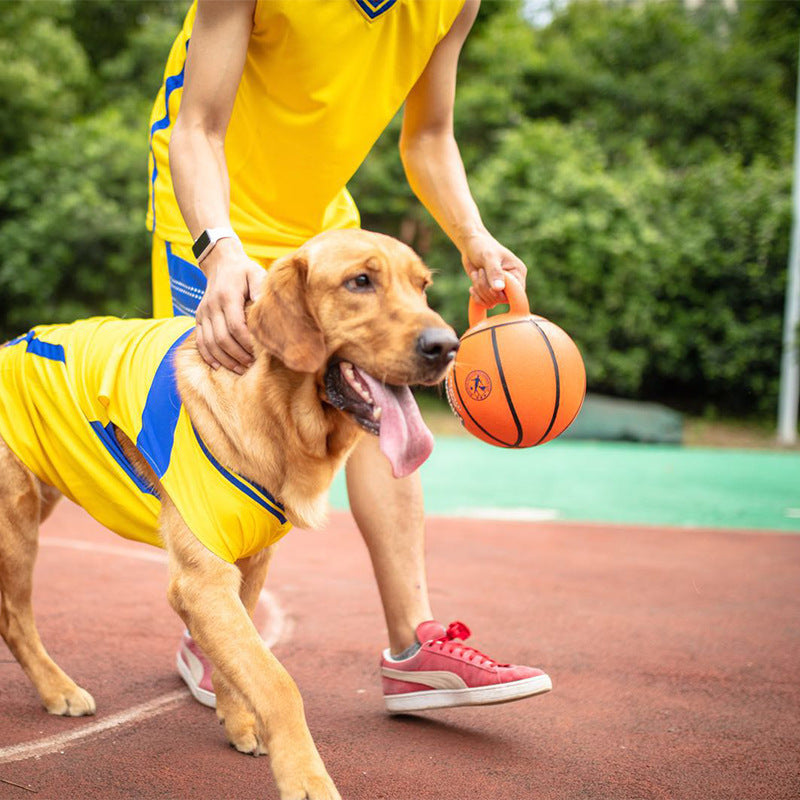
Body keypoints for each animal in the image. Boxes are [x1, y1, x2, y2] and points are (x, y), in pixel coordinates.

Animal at [0, 230, 456, 800]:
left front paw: (238, 721)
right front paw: (305, 776)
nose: (447, 346)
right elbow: (277, 681)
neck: (275, 412)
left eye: (422, 287)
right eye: (360, 281)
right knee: (15, 617)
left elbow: (237, 663)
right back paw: (58, 688)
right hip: (17, 523)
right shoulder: (203, 580)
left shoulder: (251, 563)